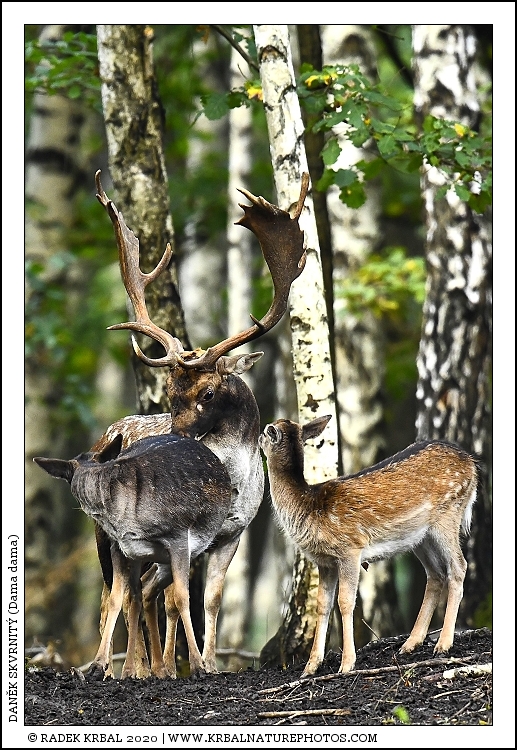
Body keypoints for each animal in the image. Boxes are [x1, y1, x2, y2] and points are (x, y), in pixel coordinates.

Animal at [34, 433, 232, 678]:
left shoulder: (178, 537)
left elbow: (181, 597)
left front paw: (198, 666)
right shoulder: (120, 547)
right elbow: (115, 600)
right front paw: (97, 666)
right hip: (141, 557)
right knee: (137, 597)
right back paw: (138, 669)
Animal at [79, 171, 310, 678]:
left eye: (207, 393)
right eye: (168, 392)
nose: (173, 441)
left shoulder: (232, 535)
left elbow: (212, 598)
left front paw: (209, 663)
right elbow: (169, 597)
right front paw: (179, 665)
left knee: (137, 590)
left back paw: (146, 666)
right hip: (105, 532)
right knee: (115, 594)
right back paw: (125, 667)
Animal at [259, 414, 481, 677]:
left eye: (264, 433)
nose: (257, 439)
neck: (308, 507)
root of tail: (472, 464)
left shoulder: (350, 548)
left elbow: (345, 602)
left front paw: (347, 664)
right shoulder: (325, 562)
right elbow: (323, 606)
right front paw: (311, 666)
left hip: (448, 514)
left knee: (458, 566)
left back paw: (443, 644)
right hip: (420, 536)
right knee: (436, 574)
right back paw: (410, 643)